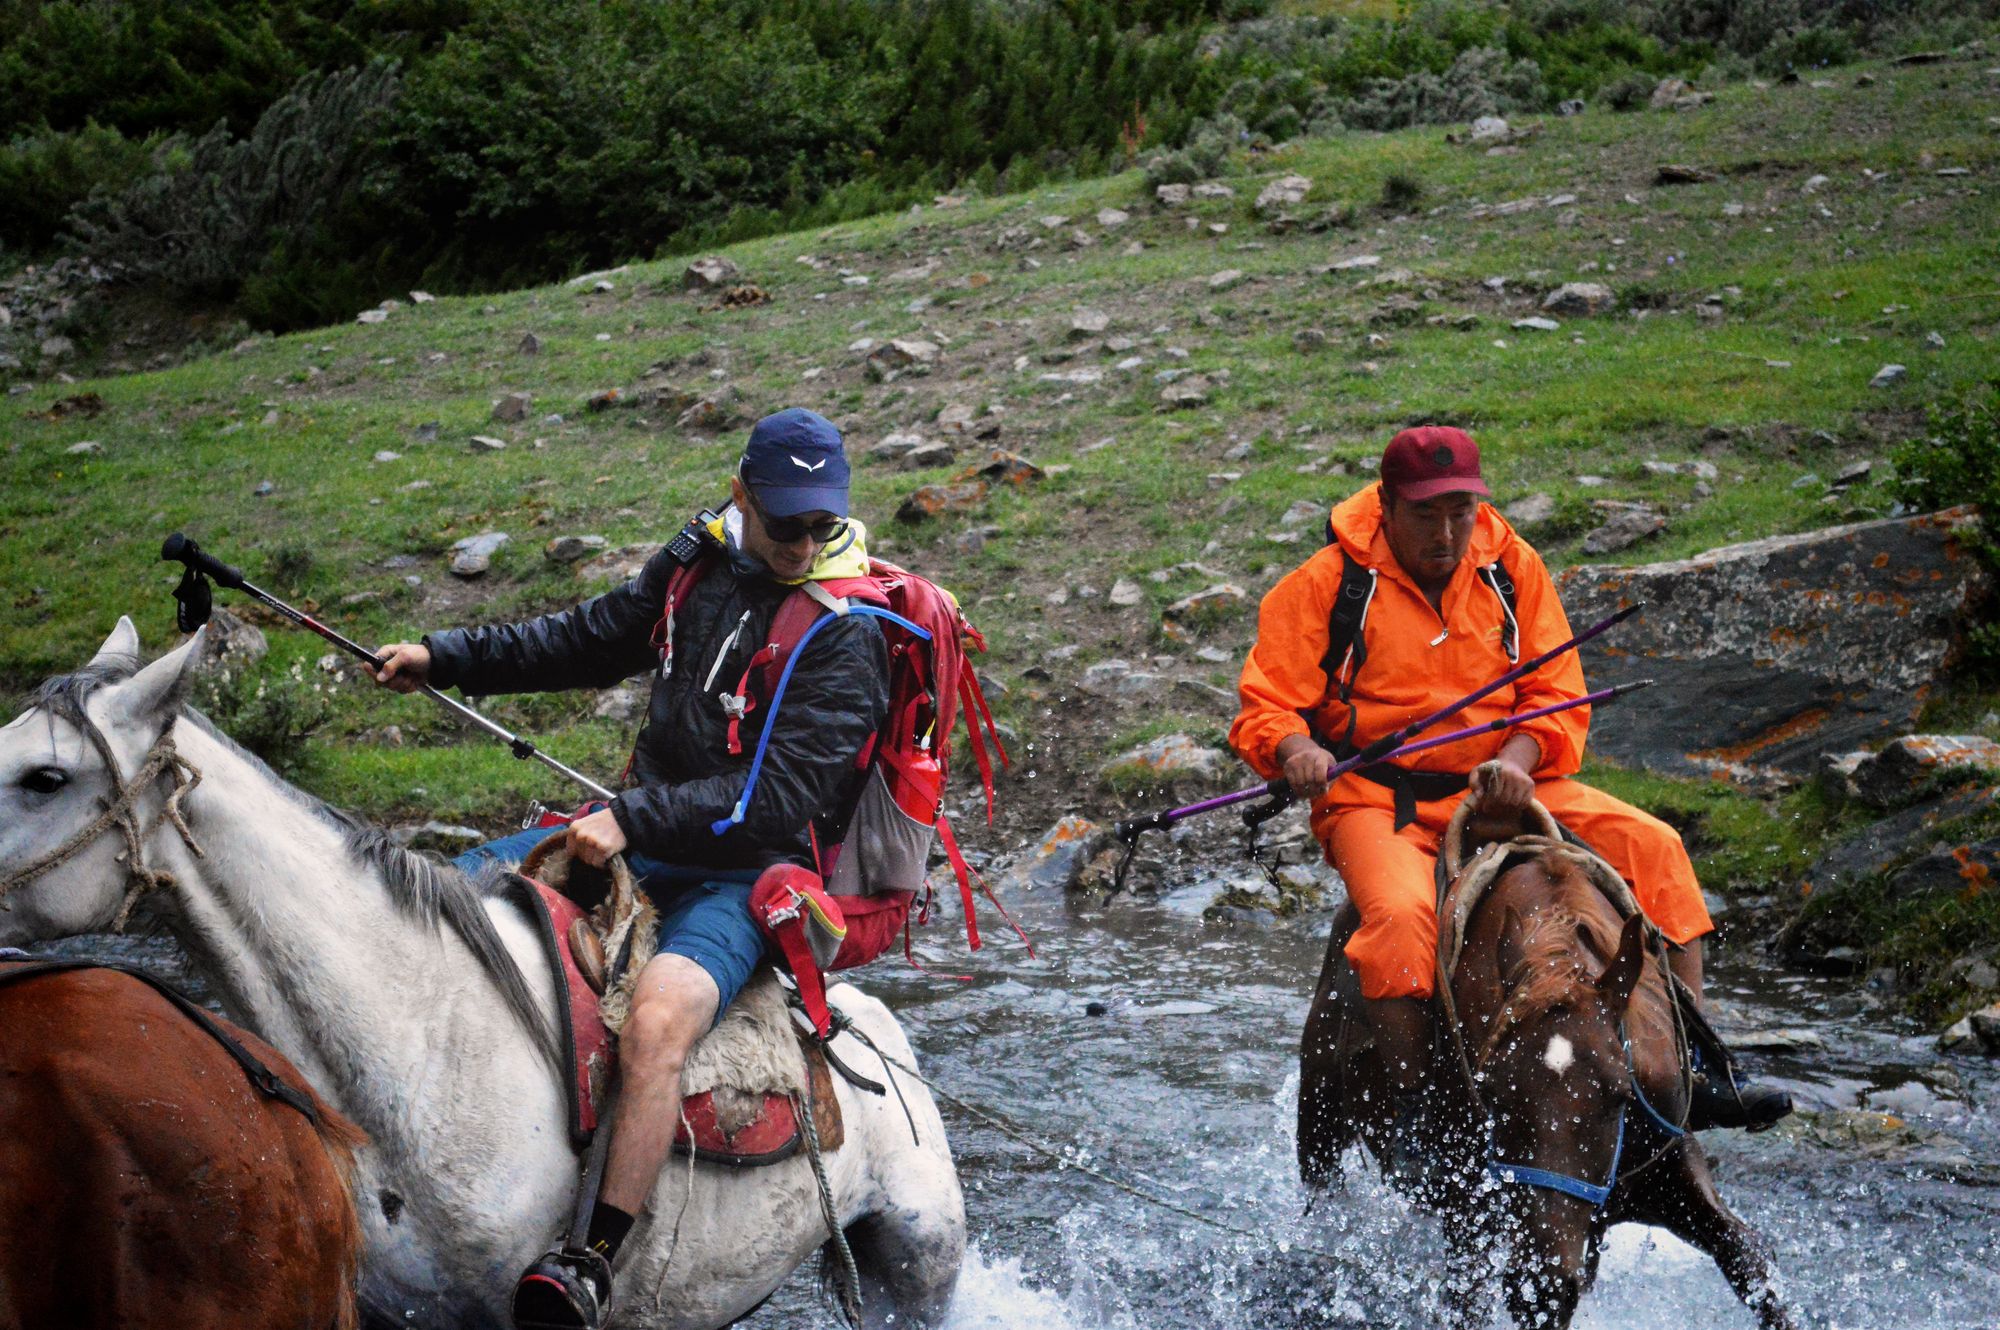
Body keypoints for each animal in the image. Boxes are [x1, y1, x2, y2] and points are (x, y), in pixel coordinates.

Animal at [1296, 804, 1800, 1320]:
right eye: (1492, 1092)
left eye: (1620, 1093)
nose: (1541, 1282)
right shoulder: (1470, 1219)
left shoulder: (1671, 1166)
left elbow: (1749, 1258)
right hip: (1320, 1115)